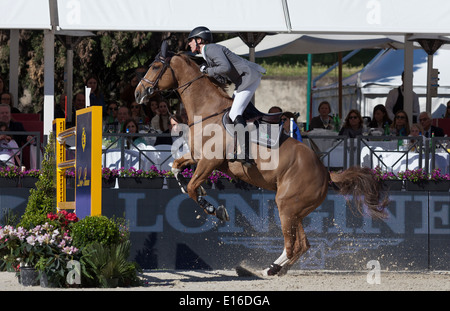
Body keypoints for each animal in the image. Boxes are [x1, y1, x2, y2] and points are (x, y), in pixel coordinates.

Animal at [134, 47, 386, 276]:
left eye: (155, 67)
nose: (138, 94)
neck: (207, 111)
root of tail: (326, 173)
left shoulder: (210, 161)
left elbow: (192, 187)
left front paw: (216, 210)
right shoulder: (197, 157)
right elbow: (177, 169)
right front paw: (202, 193)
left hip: (286, 205)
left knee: (293, 244)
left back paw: (267, 271)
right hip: (296, 211)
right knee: (302, 244)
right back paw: (273, 269)